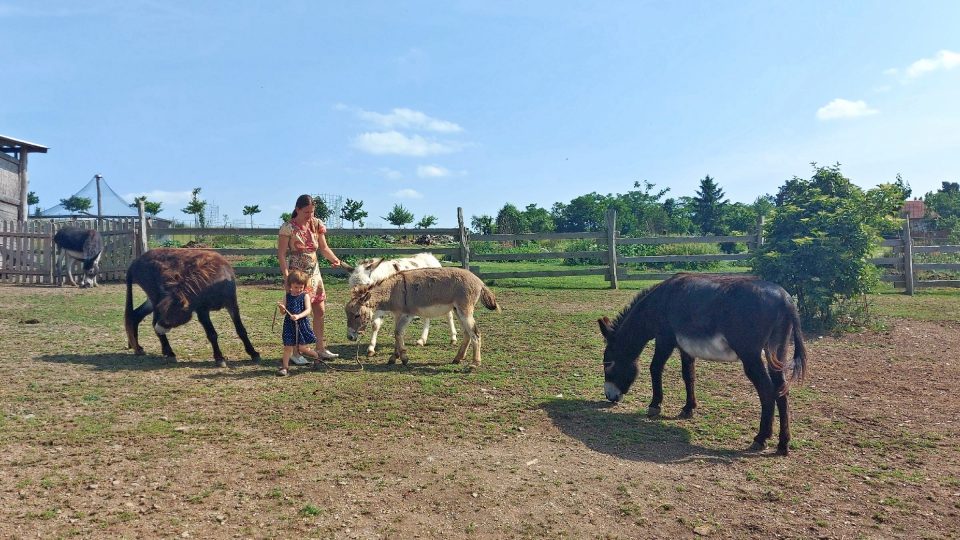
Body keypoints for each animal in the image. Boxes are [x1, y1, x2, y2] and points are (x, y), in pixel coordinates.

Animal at [127, 249, 264, 368]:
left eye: (173, 314)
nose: (158, 329)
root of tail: (135, 261)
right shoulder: (202, 310)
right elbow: (212, 334)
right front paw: (219, 358)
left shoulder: (232, 304)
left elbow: (241, 330)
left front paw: (254, 353)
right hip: (154, 298)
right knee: (148, 320)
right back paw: (168, 352)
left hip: (153, 301)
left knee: (136, 315)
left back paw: (139, 348)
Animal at [596, 274, 808, 456]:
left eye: (608, 363)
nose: (609, 397)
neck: (657, 304)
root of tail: (786, 300)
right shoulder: (685, 348)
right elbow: (688, 375)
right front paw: (688, 408)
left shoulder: (665, 339)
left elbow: (655, 368)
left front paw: (655, 405)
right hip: (777, 351)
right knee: (781, 389)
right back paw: (782, 444)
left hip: (750, 355)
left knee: (766, 390)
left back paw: (761, 438)